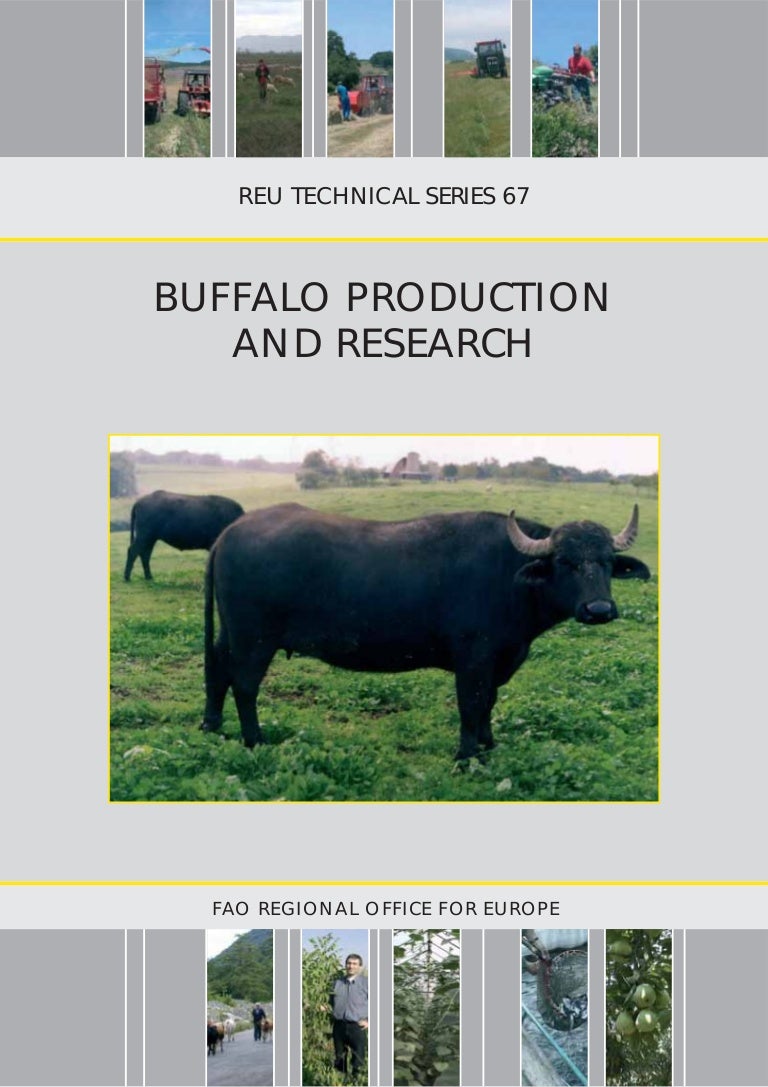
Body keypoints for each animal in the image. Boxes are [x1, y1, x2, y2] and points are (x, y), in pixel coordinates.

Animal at [200, 502, 650, 760]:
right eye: (565, 562)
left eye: (607, 561)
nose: (598, 609)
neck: (508, 575)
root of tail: (229, 533)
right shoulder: (473, 658)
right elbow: (471, 704)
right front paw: (467, 755)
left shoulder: (501, 659)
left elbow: (489, 703)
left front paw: (488, 744)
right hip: (254, 639)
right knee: (244, 684)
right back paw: (255, 740)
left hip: (231, 635)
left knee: (217, 672)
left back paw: (212, 726)